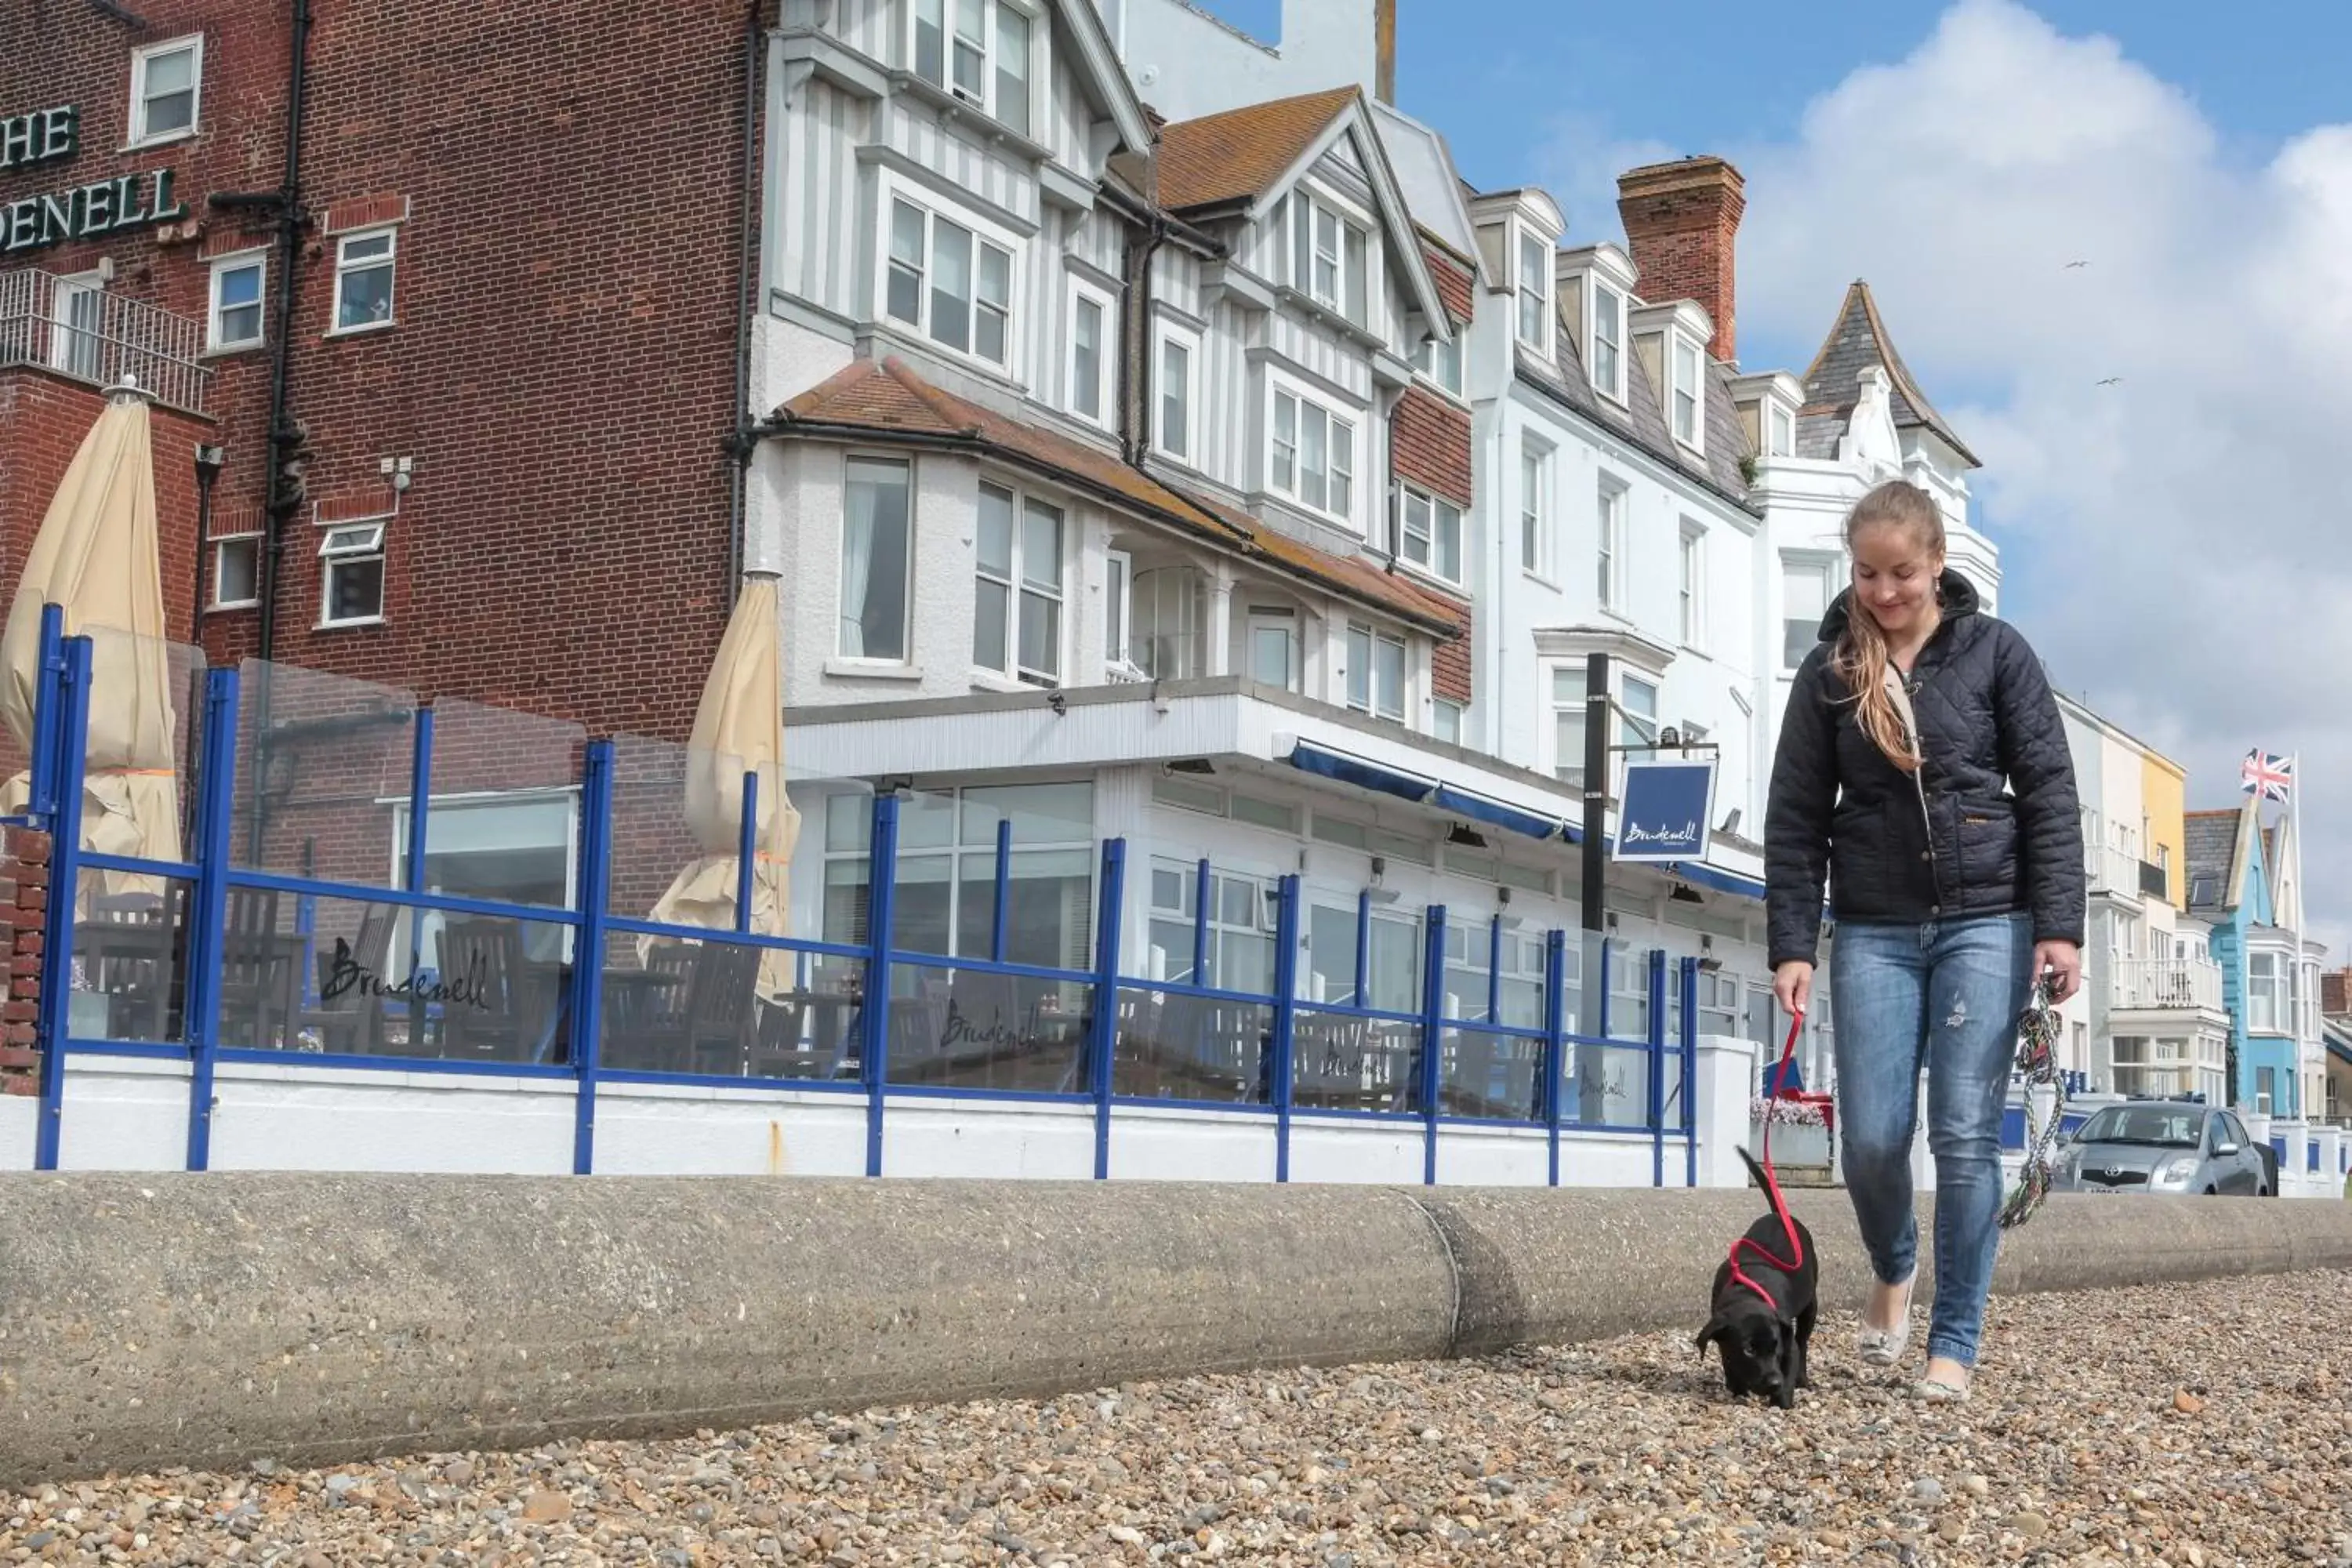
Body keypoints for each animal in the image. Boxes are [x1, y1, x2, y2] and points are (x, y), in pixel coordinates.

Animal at [1693, 1147, 1816, 1420]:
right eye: (1748, 1350)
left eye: (1775, 1346)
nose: (1773, 1383)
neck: (1748, 1292)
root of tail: (1779, 1215)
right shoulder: (1724, 1342)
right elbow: (1730, 1363)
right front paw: (1738, 1390)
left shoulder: (1787, 1342)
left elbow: (1791, 1361)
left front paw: (1781, 1401)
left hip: (1811, 1305)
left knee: (1803, 1341)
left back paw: (1803, 1379)